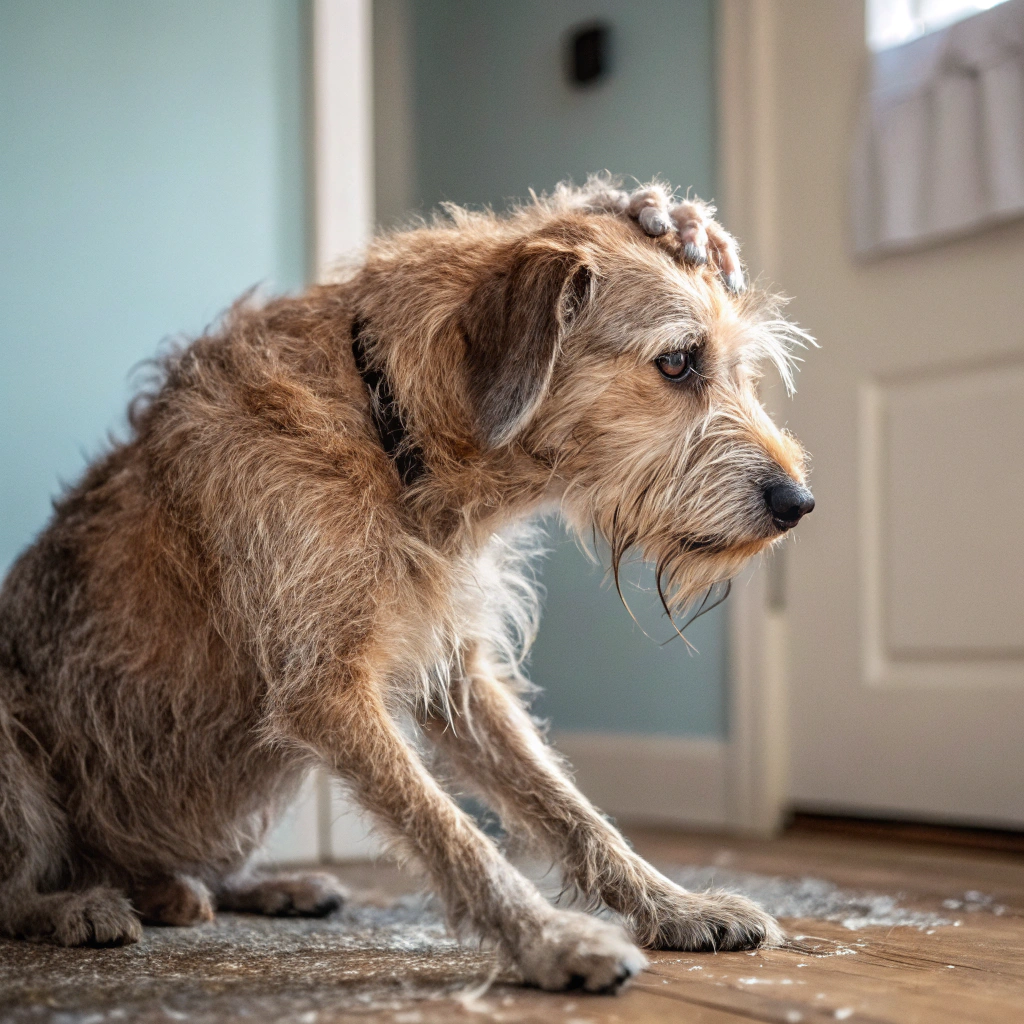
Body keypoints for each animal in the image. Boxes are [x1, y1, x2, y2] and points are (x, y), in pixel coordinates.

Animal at [0, 178, 815, 991]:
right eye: (678, 362)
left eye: (740, 369)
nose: (798, 503)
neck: (391, 428)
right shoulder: (328, 689)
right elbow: (449, 828)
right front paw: (552, 941)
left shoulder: (459, 677)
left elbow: (567, 808)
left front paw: (673, 907)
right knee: (15, 891)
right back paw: (79, 905)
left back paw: (235, 887)